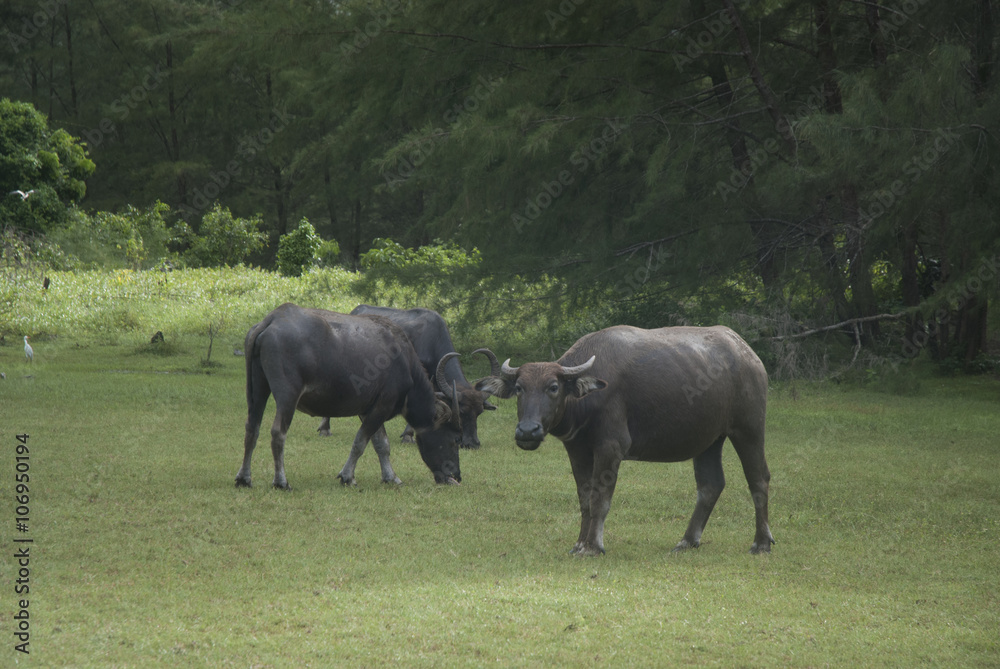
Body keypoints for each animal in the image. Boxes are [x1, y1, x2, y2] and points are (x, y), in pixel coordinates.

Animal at [236, 303, 463, 490]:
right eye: (454, 440)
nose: (456, 476)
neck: (403, 361)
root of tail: (271, 320)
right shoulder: (382, 406)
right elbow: (360, 442)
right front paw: (347, 476)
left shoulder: (369, 410)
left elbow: (381, 444)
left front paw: (391, 477)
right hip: (287, 396)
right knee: (278, 433)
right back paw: (281, 481)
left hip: (256, 389)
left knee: (252, 428)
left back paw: (244, 478)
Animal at [317, 305, 497, 449]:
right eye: (464, 412)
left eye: (479, 412)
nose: (472, 443)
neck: (431, 340)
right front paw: (409, 436)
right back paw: (325, 428)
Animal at [474, 325, 774, 556]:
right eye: (519, 388)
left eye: (553, 387)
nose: (528, 431)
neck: (587, 399)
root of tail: (749, 355)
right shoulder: (576, 449)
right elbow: (584, 498)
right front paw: (579, 544)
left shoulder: (611, 448)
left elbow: (600, 498)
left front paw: (593, 546)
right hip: (710, 440)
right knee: (711, 485)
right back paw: (688, 541)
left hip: (748, 429)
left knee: (758, 478)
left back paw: (761, 543)